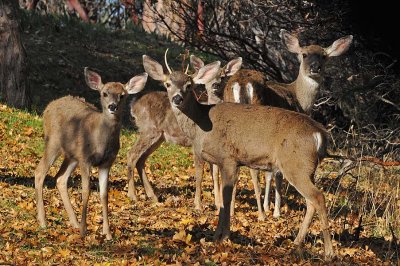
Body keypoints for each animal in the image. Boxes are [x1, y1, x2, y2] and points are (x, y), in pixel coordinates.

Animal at [34, 67, 147, 240]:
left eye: (122, 95)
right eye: (104, 93)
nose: (112, 106)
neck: (100, 140)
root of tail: (49, 106)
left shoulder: (107, 162)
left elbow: (104, 194)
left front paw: (107, 233)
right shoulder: (85, 159)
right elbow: (86, 191)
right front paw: (84, 231)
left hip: (72, 155)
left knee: (60, 178)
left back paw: (73, 222)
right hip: (53, 143)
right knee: (40, 172)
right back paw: (43, 221)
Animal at [126, 53, 242, 210]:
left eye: (188, 85)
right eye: (168, 84)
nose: (177, 98)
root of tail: (134, 105)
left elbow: (215, 172)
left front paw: (219, 204)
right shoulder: (197, 145)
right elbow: (201, 173)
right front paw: (200, 205)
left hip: (158, 136)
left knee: (141, 159)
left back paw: (153, 196)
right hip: (148, 130)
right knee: (132, 154)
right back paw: (133, 195)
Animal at [225, 30, 354, 219]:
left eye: (324, 56)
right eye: (304, 54)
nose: (315, 67)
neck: (299, 98)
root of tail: (241, 83)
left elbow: (270, 173)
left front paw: (269, 206)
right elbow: (274, 174)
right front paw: (274, 210)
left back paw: (229, 208)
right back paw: (260, 214)